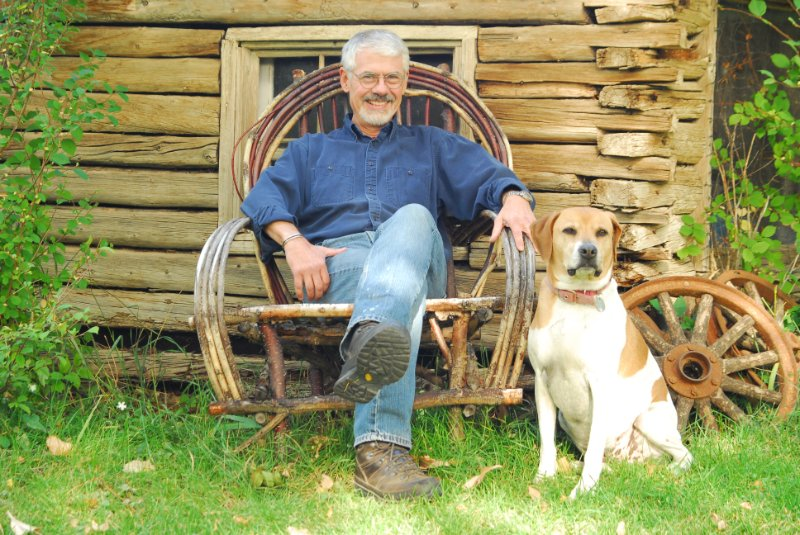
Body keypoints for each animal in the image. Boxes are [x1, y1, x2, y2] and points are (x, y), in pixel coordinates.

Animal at [528, 208, 692, 498]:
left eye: (601, 232)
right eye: (569, 230)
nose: (588, 250)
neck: (575, 300)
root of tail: (633, 458)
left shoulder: (599, 386)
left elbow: (594, 448)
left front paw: (584, 489)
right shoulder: (542, 381)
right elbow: (548, 441)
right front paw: (545, 476)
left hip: (650, 420)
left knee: (684, 453)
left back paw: (671, 471)